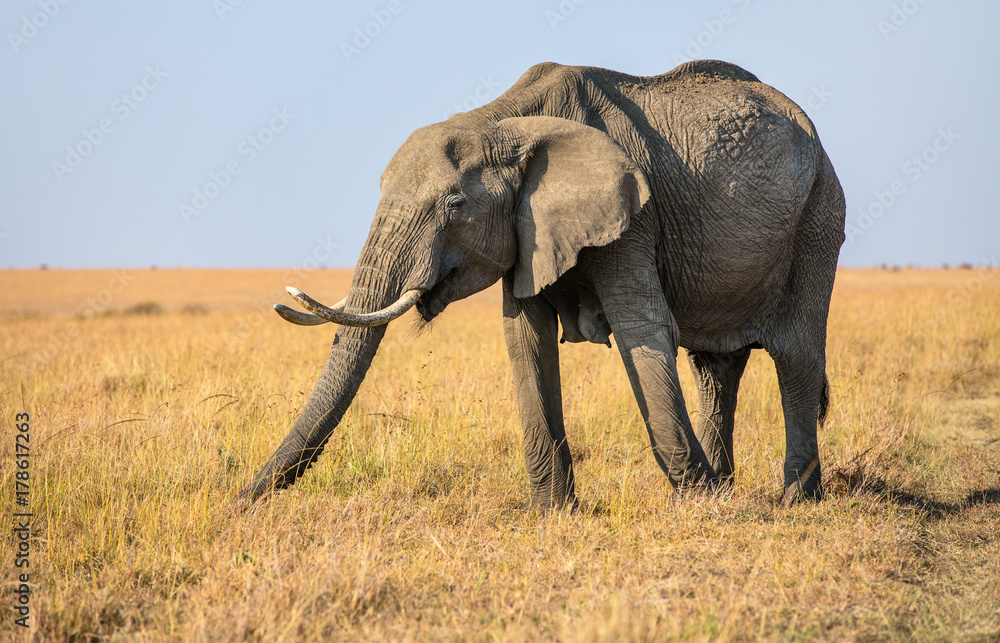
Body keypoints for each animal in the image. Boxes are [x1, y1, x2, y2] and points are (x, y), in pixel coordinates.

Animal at [237, 60, 846, 510]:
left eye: (454, 206)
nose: (239, 503)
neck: (502, 122)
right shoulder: (525, 229)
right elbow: (524, 337)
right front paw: (553, 512)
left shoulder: (633, 214)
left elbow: (640, 328)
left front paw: (701, 503)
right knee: (715, 367)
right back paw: (734, 481)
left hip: (818, 217)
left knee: (794, 356)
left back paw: (794, 500)